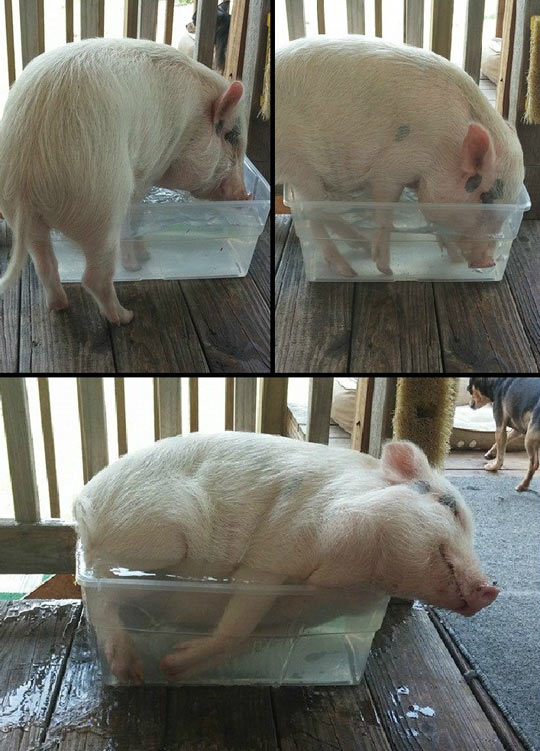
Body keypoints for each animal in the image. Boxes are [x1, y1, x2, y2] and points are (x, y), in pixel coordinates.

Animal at [0, 38, 249, 325]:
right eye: (231, 137)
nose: (245, 195)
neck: (191, 124)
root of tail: (27, 171)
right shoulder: (150, 166)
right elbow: (136, 214)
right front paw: (143, 260)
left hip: (21, 214)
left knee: (44, 263)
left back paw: (60, 306)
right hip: (101, 202)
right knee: (94, 275)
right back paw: (125, 316)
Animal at [73, 432, 499, 683]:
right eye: (450, 507)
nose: (491, 588)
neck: (355, 574)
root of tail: (84, 501)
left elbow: (246, 636)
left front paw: (176, 670)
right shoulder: (276, 551)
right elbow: (239, 617)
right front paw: (171, 664)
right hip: (161, 537)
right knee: (98, 585)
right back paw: (131, 671)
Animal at [276, 36, 525, 276]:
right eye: (485, 197)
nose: (488, 261)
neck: (445, 147)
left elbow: (432, 220)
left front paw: (452, 257)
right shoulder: (390, 168)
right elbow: (386, 212)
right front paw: (385, 270)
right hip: (299, 165)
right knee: (313, 211)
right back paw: (349, 270)